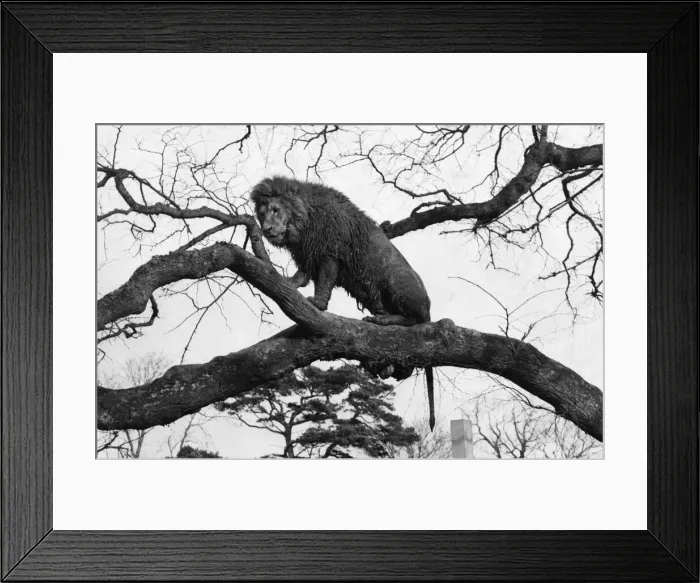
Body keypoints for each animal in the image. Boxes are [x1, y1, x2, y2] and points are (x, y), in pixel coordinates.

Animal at [250, 176, 436, 429]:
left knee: (414, 319)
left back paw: (382, 319)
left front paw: (318, 303)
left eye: (276, 210)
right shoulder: (307, 255)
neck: (303, 222)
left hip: (396, 280)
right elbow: (301, 278)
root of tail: (429, 307)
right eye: (261, 213)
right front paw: (287, 282)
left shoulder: (329, 252)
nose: (267, 230)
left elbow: (324, 280)